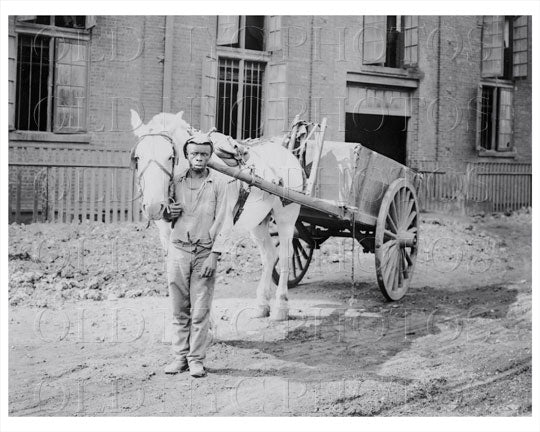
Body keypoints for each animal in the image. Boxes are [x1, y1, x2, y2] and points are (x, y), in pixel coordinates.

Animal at [128, 110, 302, 320]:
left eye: (170, 156)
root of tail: (288, 154)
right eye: (138, 158)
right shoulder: (167, 236)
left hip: (286, 217)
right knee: (269, 255)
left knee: (285, 255)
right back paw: (262, 305)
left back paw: (281, 307)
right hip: (258, 221)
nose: (154, 206)